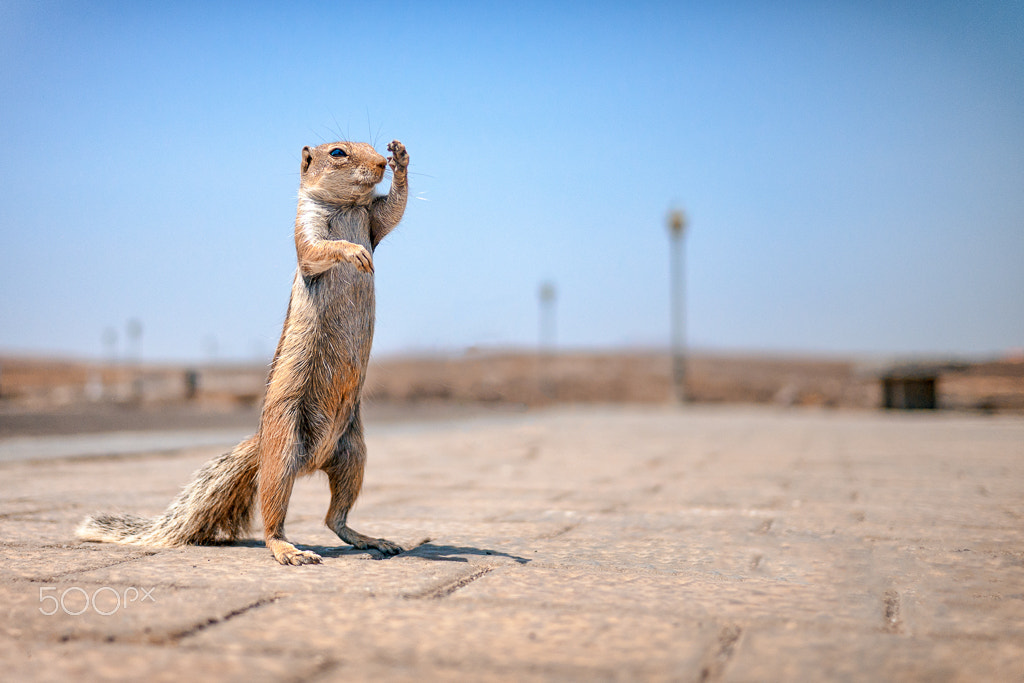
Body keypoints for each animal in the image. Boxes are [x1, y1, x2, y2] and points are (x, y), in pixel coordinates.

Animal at [76, 139, 411, 565]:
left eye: (375, 148)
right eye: (337, 152)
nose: (383, 162)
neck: (348, 206)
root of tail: (268, 446)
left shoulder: (373, 220)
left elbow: (394, 210)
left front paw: (402, 159)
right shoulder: (305, 227)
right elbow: (316, 248)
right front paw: (352, 252)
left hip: (353, 452)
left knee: (335, 518)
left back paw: (369, 538)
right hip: (284, 445)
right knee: (273, 515)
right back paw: (288, 550)